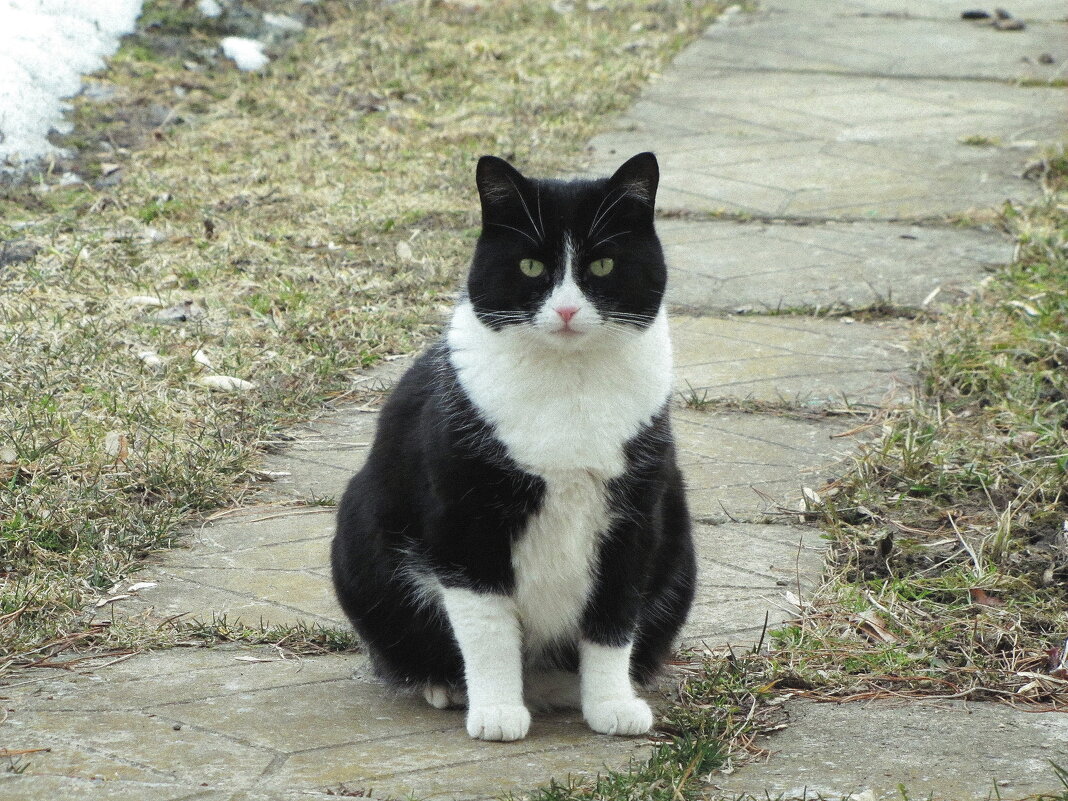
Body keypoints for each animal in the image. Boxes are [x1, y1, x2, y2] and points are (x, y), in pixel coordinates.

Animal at [335, 153, 700, 743]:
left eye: (603, 266)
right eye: (530, 267)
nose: (568, 311)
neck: (567, 383)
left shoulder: (634, 515)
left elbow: (614, 617)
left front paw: (611, 705)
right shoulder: (467, 519)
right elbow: (487, 630)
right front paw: (497, 711)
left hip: (680, 551)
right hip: (360, 544)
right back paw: (451, 688)